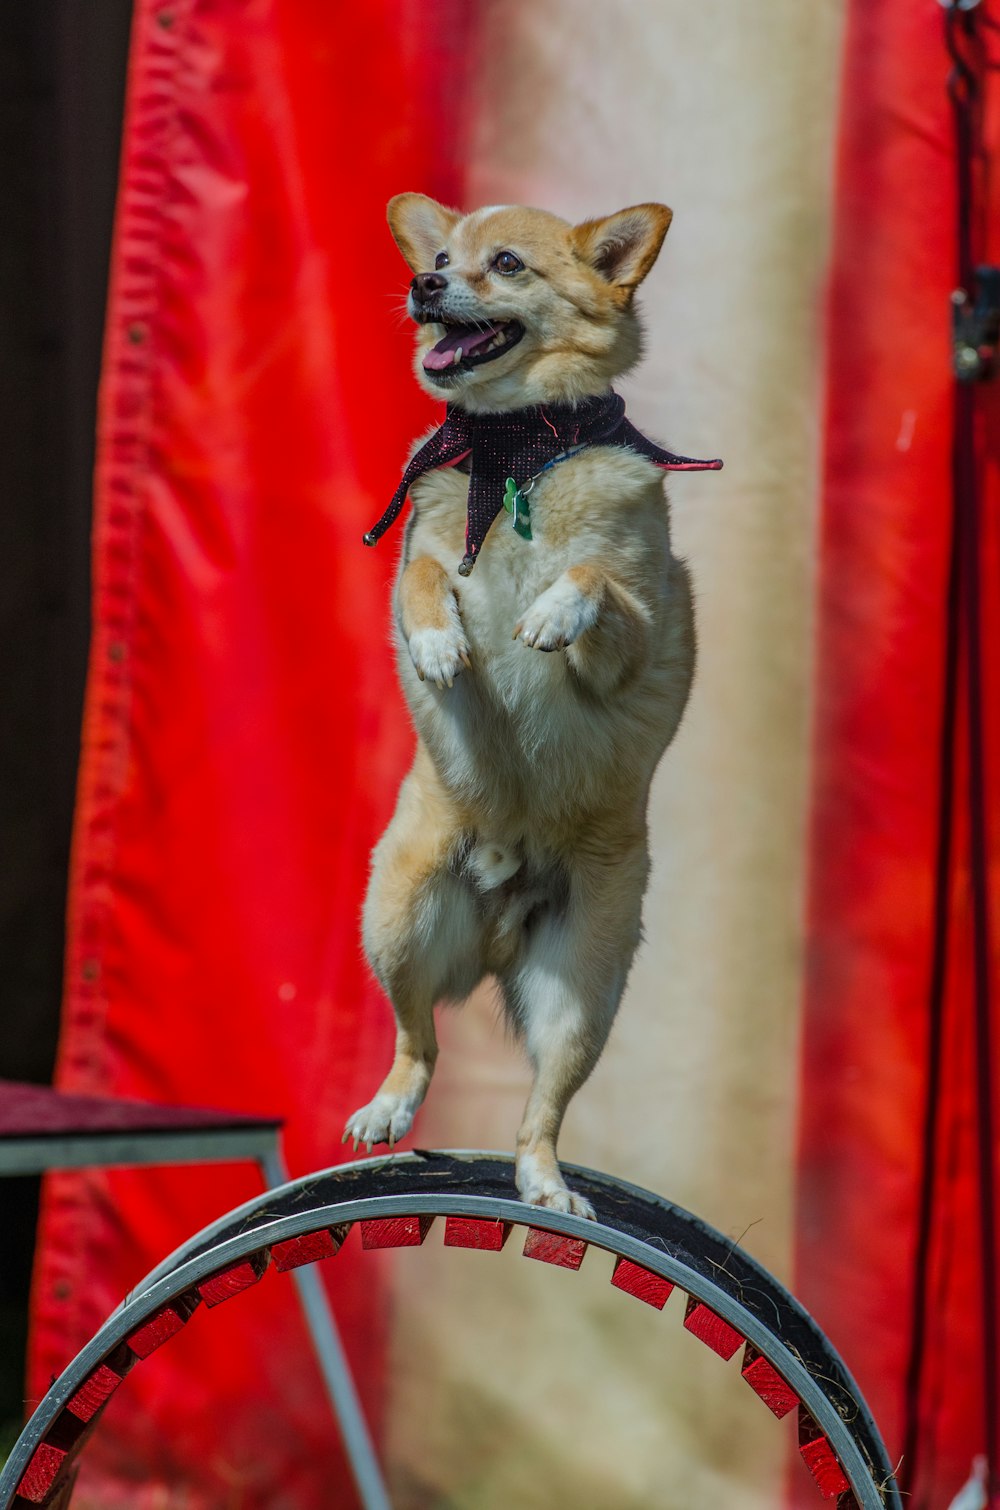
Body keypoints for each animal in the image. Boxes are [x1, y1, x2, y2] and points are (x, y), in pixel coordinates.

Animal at [344, 194, 722, 1220]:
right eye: (440, 258)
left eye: (506, 264)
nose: (422, 283)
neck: (517, 452)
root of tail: (502, 917)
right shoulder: (417, 564)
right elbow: (426, 577)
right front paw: (441, 642)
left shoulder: (633, 639)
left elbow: (594, 579)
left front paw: (551, 609)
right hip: (398, 917)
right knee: (418, 1040)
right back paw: (389, 1109)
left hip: (583, 994)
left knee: (540, 1113)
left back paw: (545, 1185)